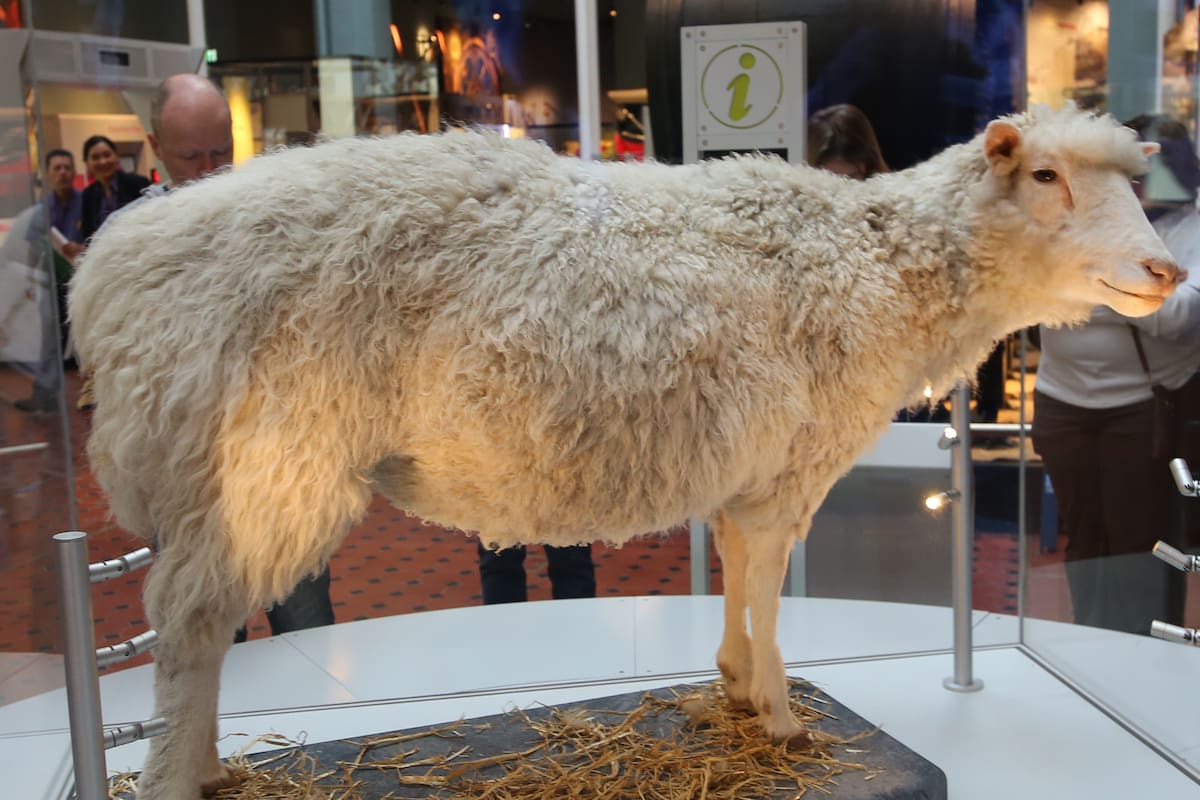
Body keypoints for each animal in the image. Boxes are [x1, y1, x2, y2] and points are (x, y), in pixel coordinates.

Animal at [69, 104, 1178, 799]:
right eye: (1045, 176)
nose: (1165, 270)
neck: (878, 265)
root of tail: (110, 267)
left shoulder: (750, 469)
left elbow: (735, 569)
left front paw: (732, 682)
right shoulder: (790, 468)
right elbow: (767, 582)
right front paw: (779, 715)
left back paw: (210, 762)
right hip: (257, 463)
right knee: (190, 627)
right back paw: (182, 774)